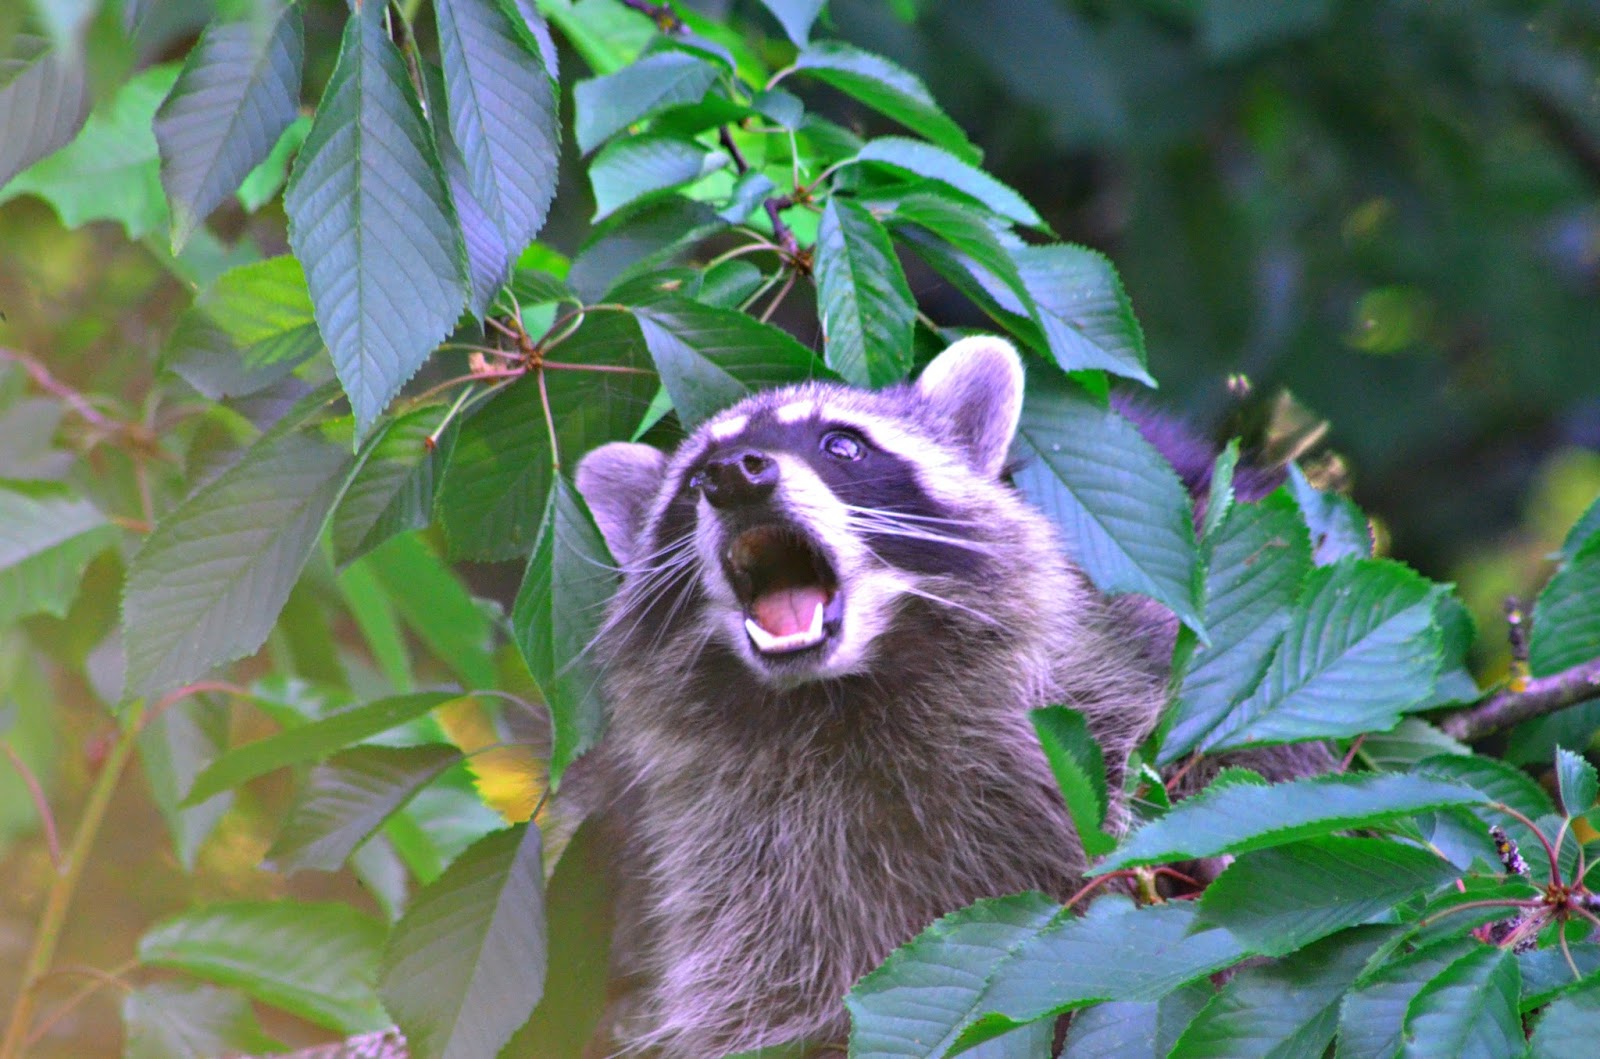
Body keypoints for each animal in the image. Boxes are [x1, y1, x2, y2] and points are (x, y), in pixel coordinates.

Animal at [572, 337, 1185, 1057]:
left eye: (841, 445)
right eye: (695, 479)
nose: (734, 475)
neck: (834, 695)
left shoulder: (1091, 695)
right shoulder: (745, 856)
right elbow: (758, 990)